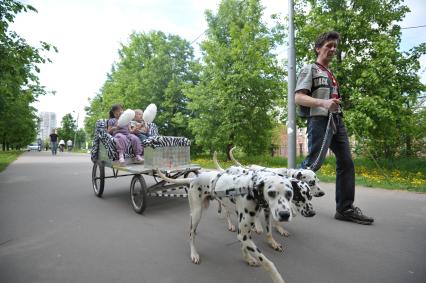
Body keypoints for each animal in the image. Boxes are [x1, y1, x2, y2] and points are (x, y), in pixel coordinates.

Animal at [156, 170, 292, 283]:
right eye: (271, 193)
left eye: (289, 193)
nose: (285, 215)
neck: (250, 188)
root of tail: (194, 178)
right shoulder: (243, 233)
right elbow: (268, 263)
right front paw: (277, 279)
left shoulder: (246, 231)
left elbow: (247, 245)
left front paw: (248, 258)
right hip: (197, 213)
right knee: (190, 234)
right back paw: (194, 253)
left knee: (194, 230)